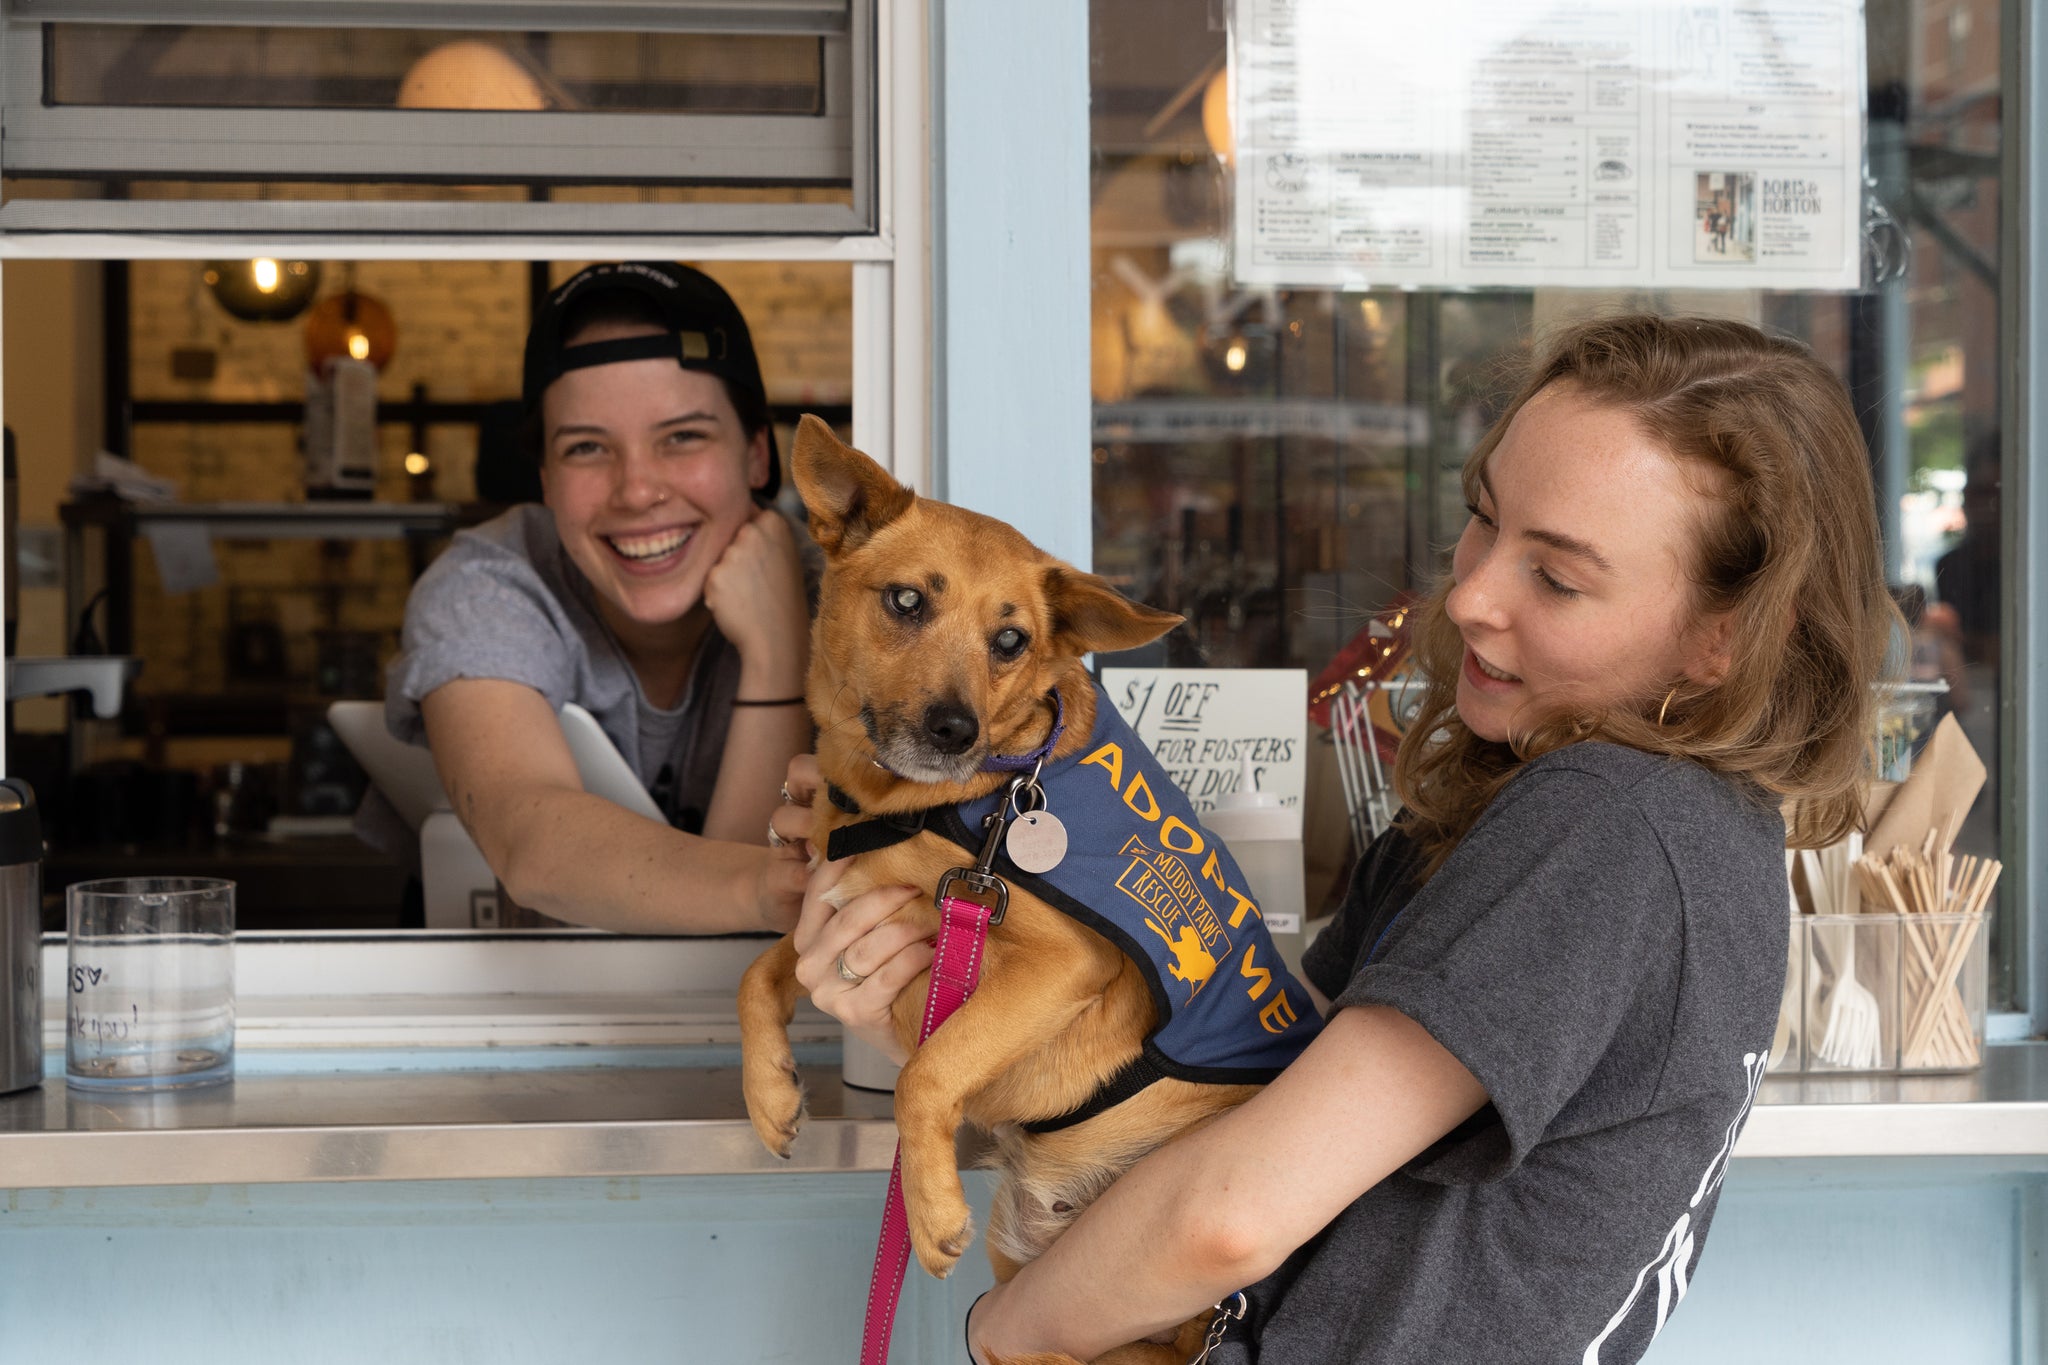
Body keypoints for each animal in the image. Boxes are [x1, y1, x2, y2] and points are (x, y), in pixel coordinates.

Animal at [745, 417, 1261, 1365]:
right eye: (906, 600)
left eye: (1012, 641)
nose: (955, 729)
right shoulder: (842, 902)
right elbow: (758, 973)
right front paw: (768, 1095)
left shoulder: (1062, 961)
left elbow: (926, 1071)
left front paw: (930, 1207)